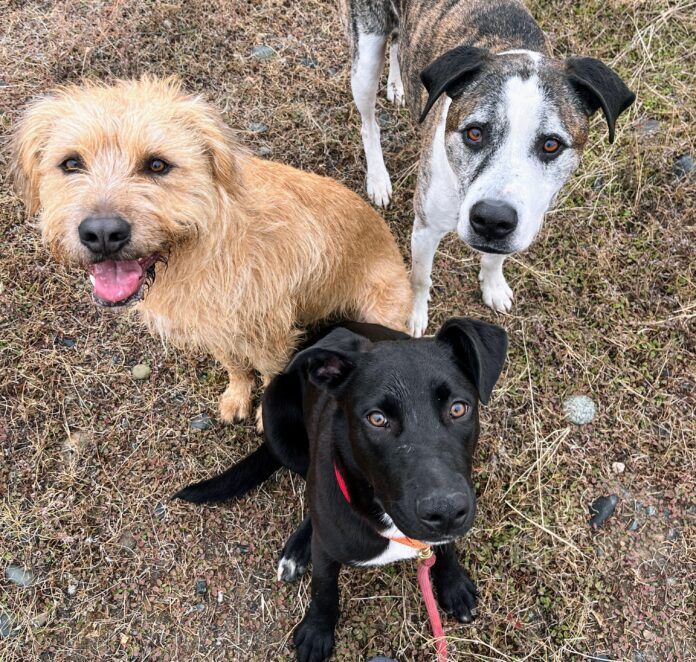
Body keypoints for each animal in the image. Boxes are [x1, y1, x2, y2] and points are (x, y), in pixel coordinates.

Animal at [10, 75, 410, 422]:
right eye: (71, 163)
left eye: (157, 164)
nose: (103, 233)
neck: (199, 248)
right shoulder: (213, 325)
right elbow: (233, 364)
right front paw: (237, 396)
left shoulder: (269, 332)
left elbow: (269, 371)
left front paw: (265, 414)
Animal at [177, 320, 508, 660]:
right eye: (377, 418)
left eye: (458, 409)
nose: (446, 513)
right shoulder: (327, 546)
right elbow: (324, 587)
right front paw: (317, 631)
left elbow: (446, 548)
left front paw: (453, 583)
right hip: (278, 425)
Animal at [342, 0, 636, 334]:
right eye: (474, 133)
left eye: (551, 145)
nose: (493, 220)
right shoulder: (426, 228)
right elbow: (420, 278)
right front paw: (412, 315)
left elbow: (495, 259)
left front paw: (493, 285)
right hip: (365, 59)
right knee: (369, 123)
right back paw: (378, 179)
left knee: (397, 44)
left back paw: (397, 84)